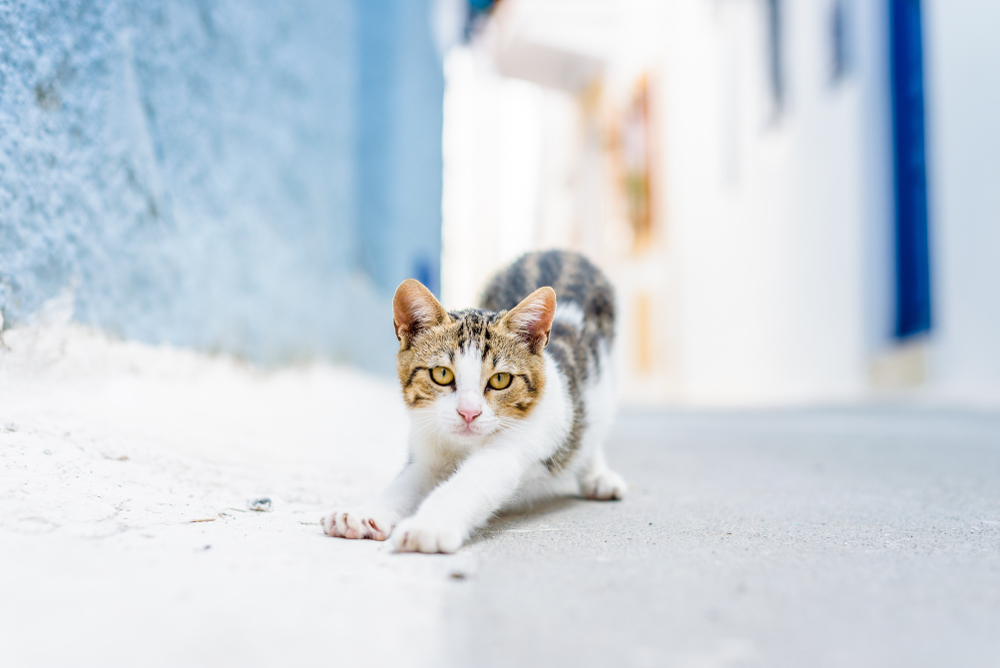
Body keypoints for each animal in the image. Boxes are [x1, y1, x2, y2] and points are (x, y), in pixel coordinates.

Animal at [322, 250, 624, 552]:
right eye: (442, 374)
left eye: (500, 379)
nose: (468, 413)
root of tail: (557, 251)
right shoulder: (428, 451)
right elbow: (406, 484)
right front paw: (364, 514)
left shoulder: (512, 445)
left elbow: (469, 483)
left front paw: (428, 526)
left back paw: (597, 475)